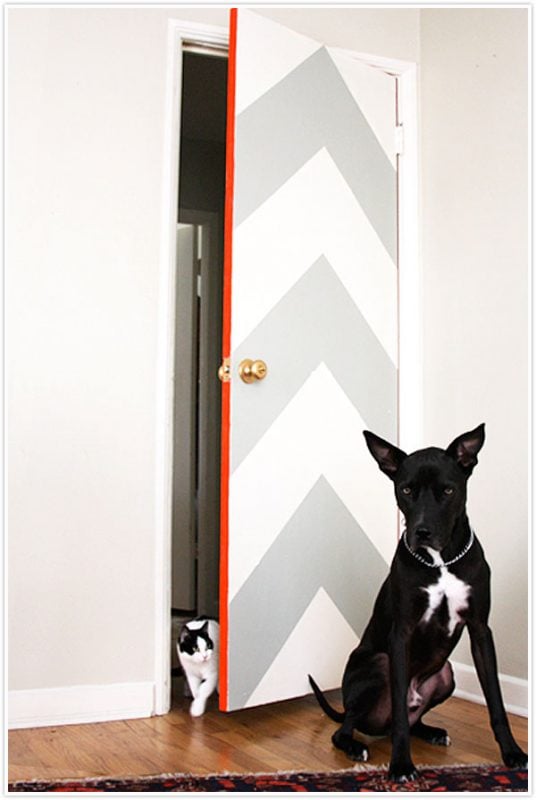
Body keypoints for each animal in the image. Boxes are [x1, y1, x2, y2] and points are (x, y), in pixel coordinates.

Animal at [309, 424, 527, 782]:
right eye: (406, 489)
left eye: (448, 490)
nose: (422, 532)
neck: (442, 562)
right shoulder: (402, 634)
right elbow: (398, 711)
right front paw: (401, 765)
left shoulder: (481, 630)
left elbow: (496, 701)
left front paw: (512, 753)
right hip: (377, 664)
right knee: (349, 727)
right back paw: (354, 746)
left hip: (447, 674)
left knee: (413, 720)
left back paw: (432, 731)